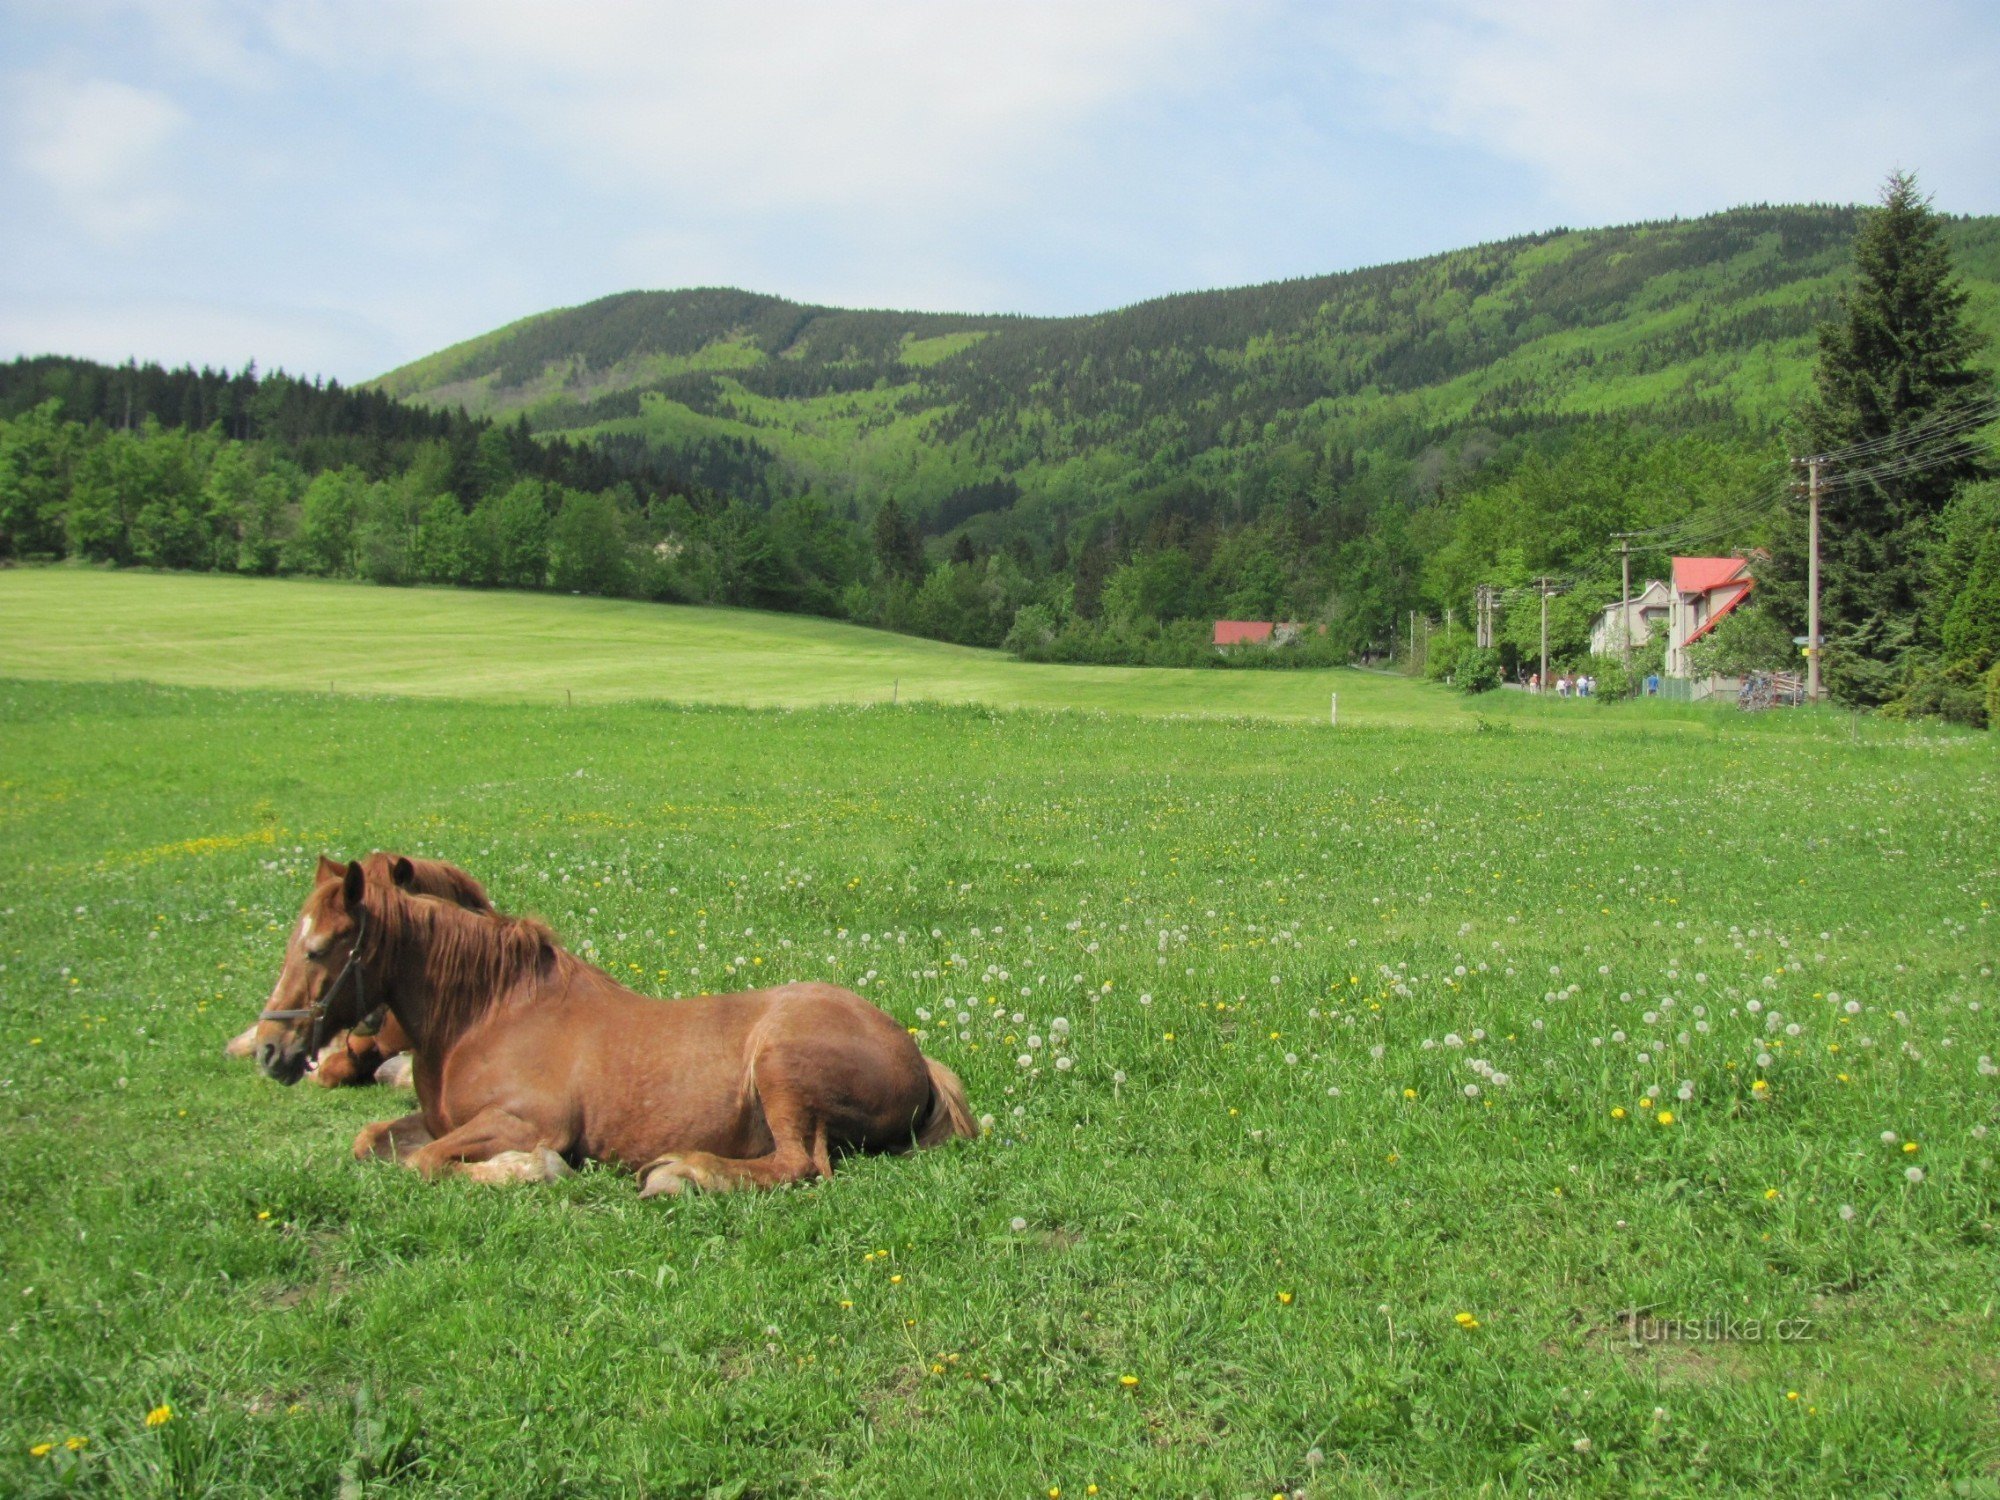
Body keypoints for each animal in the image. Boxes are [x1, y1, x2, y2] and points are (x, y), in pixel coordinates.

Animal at [254, 856, 972, 1200]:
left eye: (319, 949)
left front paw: (531, 1170)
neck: (490, 1014)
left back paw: (682, 1174)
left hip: (782, 1068)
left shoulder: (527, 1120)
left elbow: (425, 1163)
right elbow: (373, 1141)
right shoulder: (437, 1119)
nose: (269, 1049)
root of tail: (915, 1054)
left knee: (800, 1165)